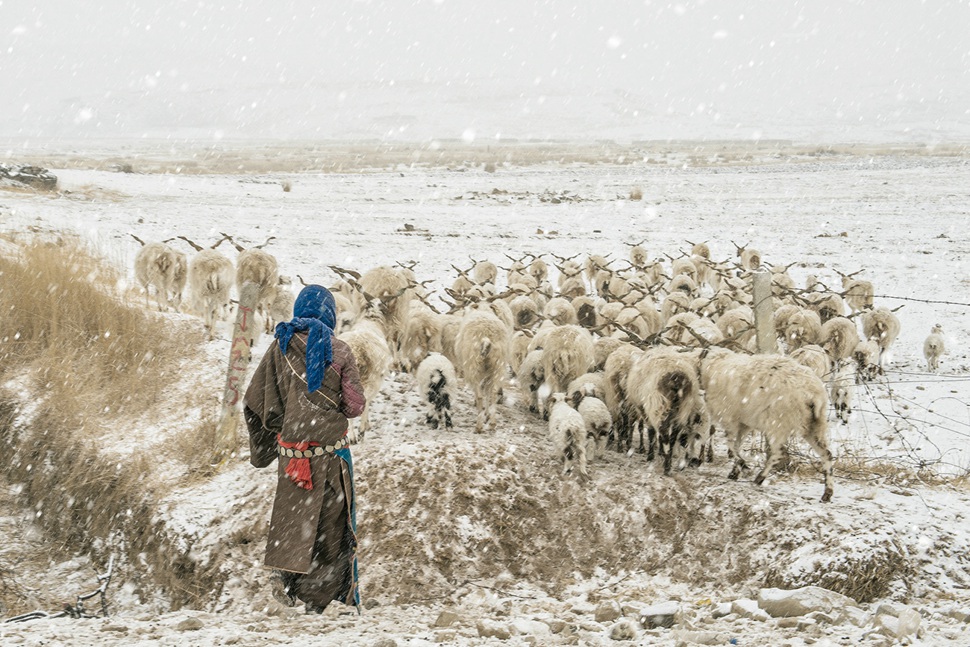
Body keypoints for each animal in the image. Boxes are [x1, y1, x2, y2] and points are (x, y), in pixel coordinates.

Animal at [696, 350, 832, 502]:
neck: (712, 367)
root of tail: (813, 394)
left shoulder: (729, 418)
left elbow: (729, 443)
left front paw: (742, 465)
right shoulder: (744, 423)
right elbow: (737, 445)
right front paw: (735, 471)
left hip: (779, 424)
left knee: (777, 453)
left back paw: (760, 477)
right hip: (815, 425)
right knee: (826, 454)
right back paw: (827, 492)